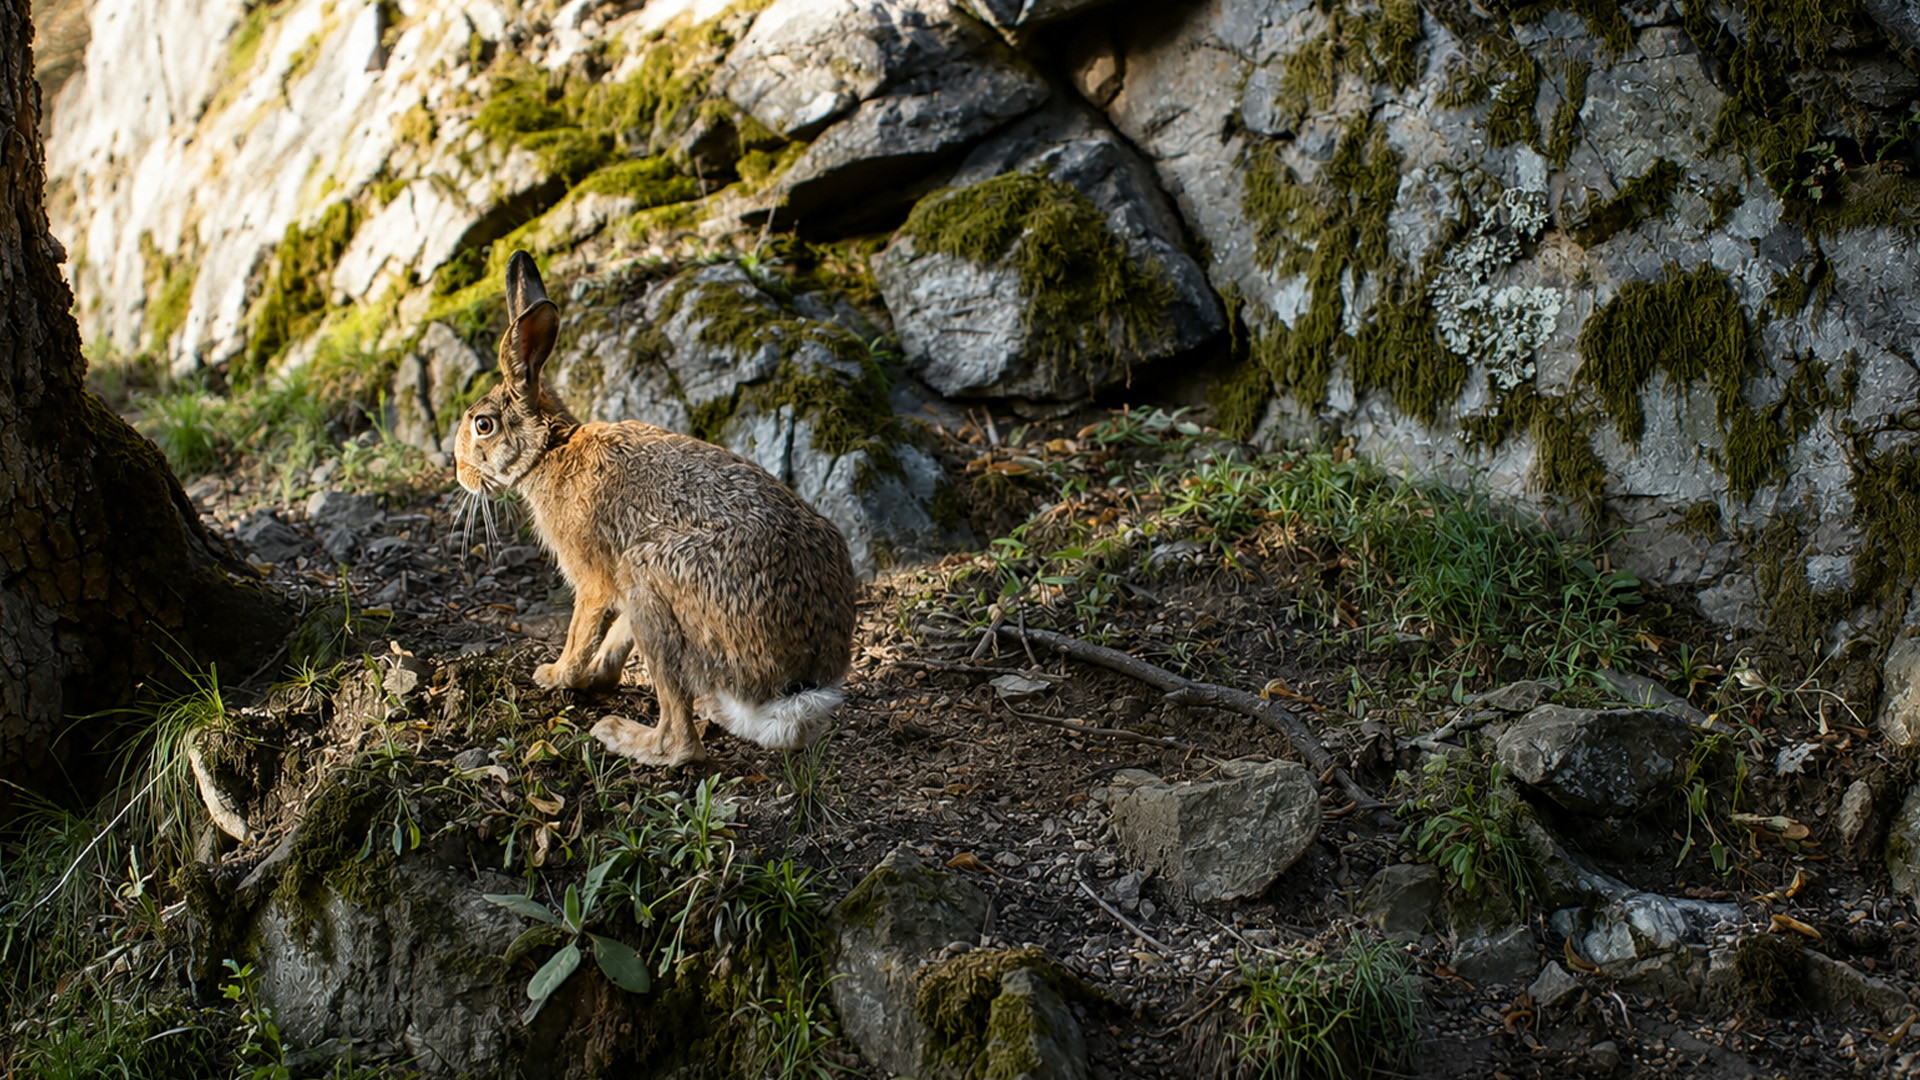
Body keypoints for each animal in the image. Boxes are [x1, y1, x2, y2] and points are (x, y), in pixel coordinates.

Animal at [452, 251, 858, 766]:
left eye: (483, 425)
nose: (460, 474)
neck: (550, 449)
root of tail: (797, 680)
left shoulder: (594, 578)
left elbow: (582, 628)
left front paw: (557, 675)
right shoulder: (621, 589)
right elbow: (614, 636)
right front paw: (594, 677)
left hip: (652, 575)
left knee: (680, 741)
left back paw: (621, 734)